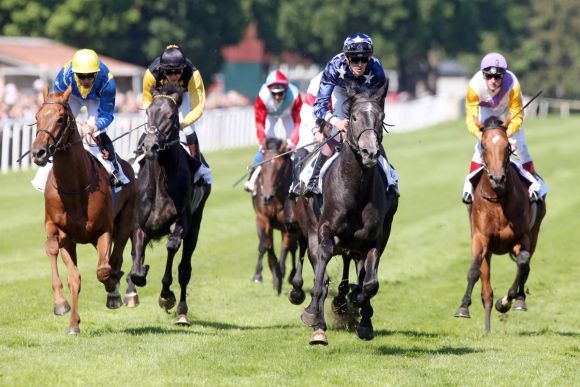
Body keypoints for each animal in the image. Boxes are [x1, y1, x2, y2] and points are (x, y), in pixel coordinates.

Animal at [31, 86, 137, 334]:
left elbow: (103, 270)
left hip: (125, 222)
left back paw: (115, 291)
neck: (74, 186)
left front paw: (112, 289)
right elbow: (71, 274)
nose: (38, 152)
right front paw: (66, 313)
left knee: (116, 259)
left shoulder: (104, 230)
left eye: (60, 119)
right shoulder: (61, 232)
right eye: (37, 117)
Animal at [124, 85, 211, 328]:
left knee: (184, 269)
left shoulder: (182, 222)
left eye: (171, 116)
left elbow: (172, 248)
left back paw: (182, 312)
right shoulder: (139, 225)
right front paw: (137, 278)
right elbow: (136, 260)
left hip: (196, 227)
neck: (160, 181)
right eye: (148, 112)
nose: (150, 145)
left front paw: (166, 296)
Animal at [253, 139, 300, 294]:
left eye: (280, 168)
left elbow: (286, 246)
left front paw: (281, 273)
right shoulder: (262, 217)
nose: (267, 196)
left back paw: (291, 274)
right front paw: (260, 275)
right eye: (262, 166)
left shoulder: (287, 224)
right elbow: (265, 245)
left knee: (293, 247)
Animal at [300, 83, 398, 344]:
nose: (369, 151)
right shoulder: (325, 231)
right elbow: (321, 278)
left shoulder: (373, 240)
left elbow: (370, 284)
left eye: (381, 117)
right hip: (312, 229)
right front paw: (316, 322)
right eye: (353, 117)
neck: (356, 189)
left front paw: (359, 310)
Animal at [456, 115, 548, 334]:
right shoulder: (480, 238)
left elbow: (523, 262)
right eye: (483, 145)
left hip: (534, 233)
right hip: (488, 250)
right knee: (486, 289)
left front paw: (506, 301)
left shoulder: (523, 236)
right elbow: (474, 270)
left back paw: (519, 301)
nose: (497, 178)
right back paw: (487, 328)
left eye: (508, 147)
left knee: (525, 265)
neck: (498, 200)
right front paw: (463, 307)